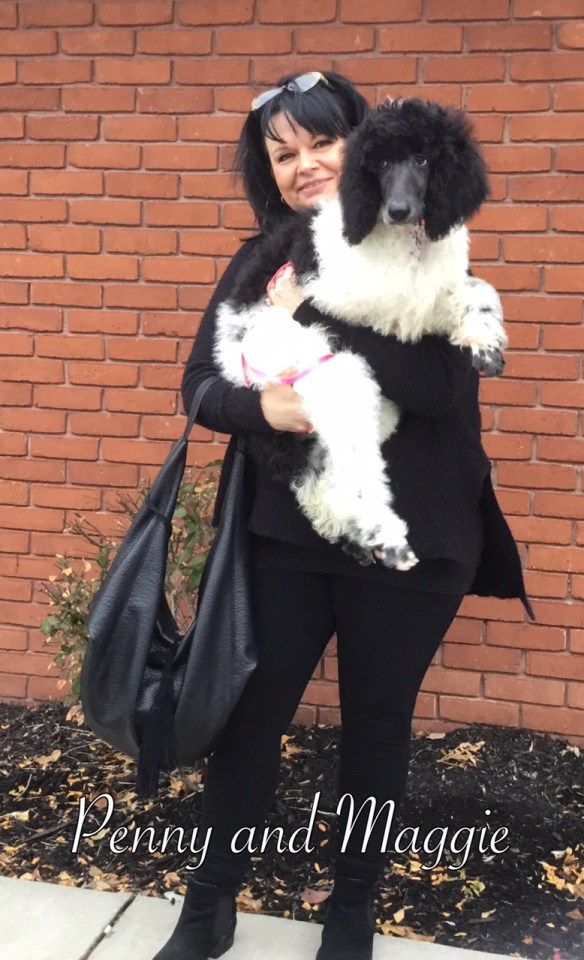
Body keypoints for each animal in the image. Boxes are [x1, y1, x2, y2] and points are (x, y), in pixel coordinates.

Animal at [213, 98, 508, 570]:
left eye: (423, 158)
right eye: (380, 163)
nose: (399, 210)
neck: (406, 244)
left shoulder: (421, 300)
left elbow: (475, 290)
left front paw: (485, 343)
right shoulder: (349, 301)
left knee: (326, 476)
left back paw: (355, 536)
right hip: (327, 369)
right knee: (354, 470)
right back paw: (386, 537)